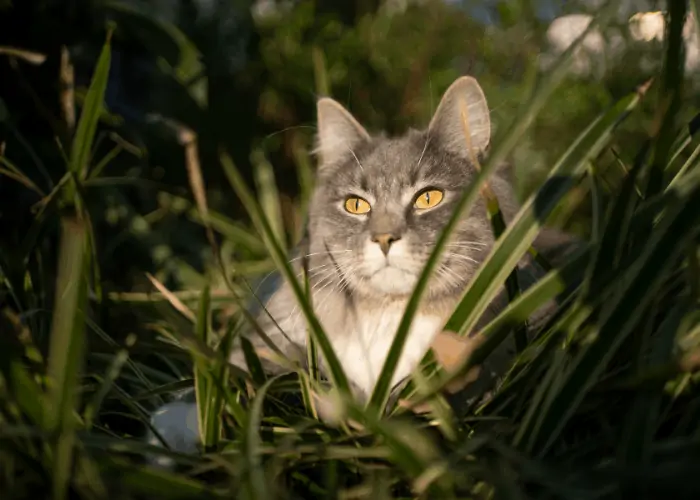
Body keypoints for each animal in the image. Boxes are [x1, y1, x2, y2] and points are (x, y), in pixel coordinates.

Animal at [146, 75, 576, 458]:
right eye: (356, 205)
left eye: (429, 197)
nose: (384, 239)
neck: (391, 318)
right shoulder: (273, 336)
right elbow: (249, 371)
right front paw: (179, 423)